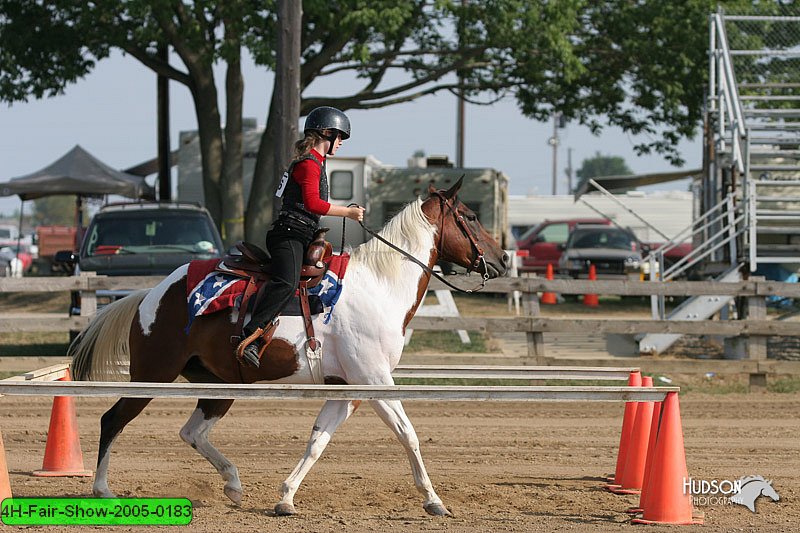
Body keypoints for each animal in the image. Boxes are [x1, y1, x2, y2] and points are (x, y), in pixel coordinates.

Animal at [69, 179, 506, 516]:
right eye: (470, 216)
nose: (502, 259)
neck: (379, 287)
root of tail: (151, 294)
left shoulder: (349, 389)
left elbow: (317, 441)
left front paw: (285, 498)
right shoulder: (375, 380)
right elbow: (408, 434)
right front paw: (434, 501)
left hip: (220, 385)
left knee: (192, 431)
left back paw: (233, 484)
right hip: (152, 375)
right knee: (113, 420)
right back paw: (103, 490)